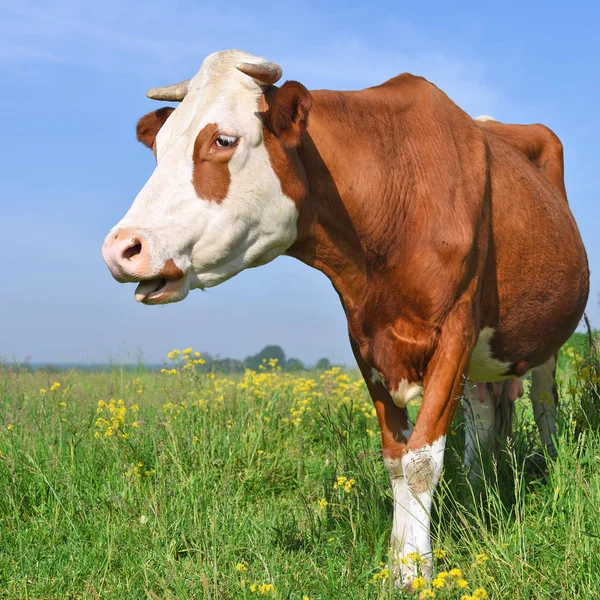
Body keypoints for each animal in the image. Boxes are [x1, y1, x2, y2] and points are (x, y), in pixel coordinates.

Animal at [101, 49, 588, 584]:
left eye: (223, 139)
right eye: (159, 147)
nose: (120, 248)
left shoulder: (455, 329)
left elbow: (421, 460)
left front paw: (416, 572)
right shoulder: (365, 340)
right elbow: (397, 458)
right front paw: (398, 561)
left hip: (546, 338)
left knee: (544, 401)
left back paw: (553, 469)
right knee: (482, 416)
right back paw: (478, 487)